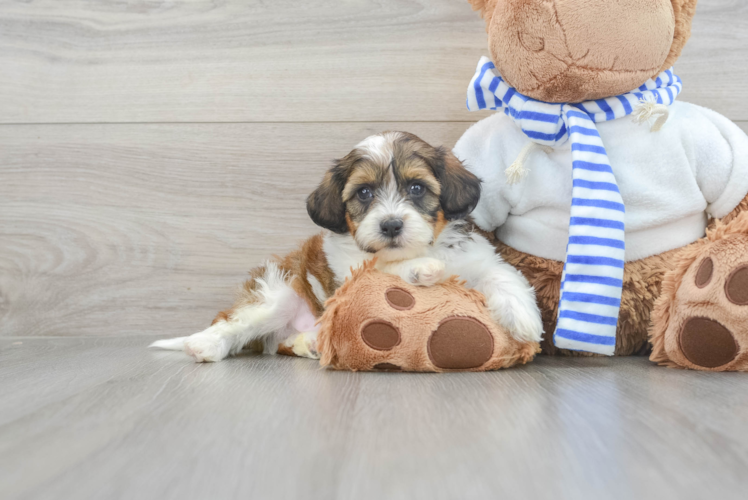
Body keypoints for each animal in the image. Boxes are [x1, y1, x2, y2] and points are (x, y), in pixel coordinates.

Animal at [149, 131, 540, 362]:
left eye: (416, 188)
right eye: (364, 193)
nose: (391, 224)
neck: (422, 248)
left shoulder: (477, 257)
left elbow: (503, 275)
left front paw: (524, 319)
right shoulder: (352, 272)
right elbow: (385, 267)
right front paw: (423, 270)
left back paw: (312, 342)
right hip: (278, 293)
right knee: (234, 321)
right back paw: (205, 344)